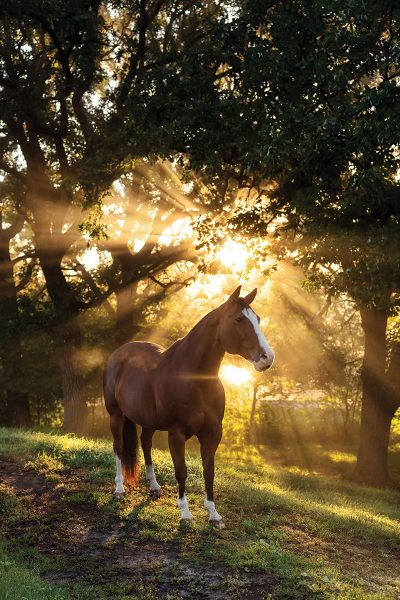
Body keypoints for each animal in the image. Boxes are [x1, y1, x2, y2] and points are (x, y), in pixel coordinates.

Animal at [102, 284, 276, 524]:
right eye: (239, 319)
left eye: (257, 318)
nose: (267, 358)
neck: (194, 378)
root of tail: (118, 354)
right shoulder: (177, 433)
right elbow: (181, 471)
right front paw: (185, 513)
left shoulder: (213, 432)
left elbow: (209, 471)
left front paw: (213, 514)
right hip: (116, 415)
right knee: (119, 447)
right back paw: (119, 489)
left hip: (148, 420)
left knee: (145, 443)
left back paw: (154, 487)